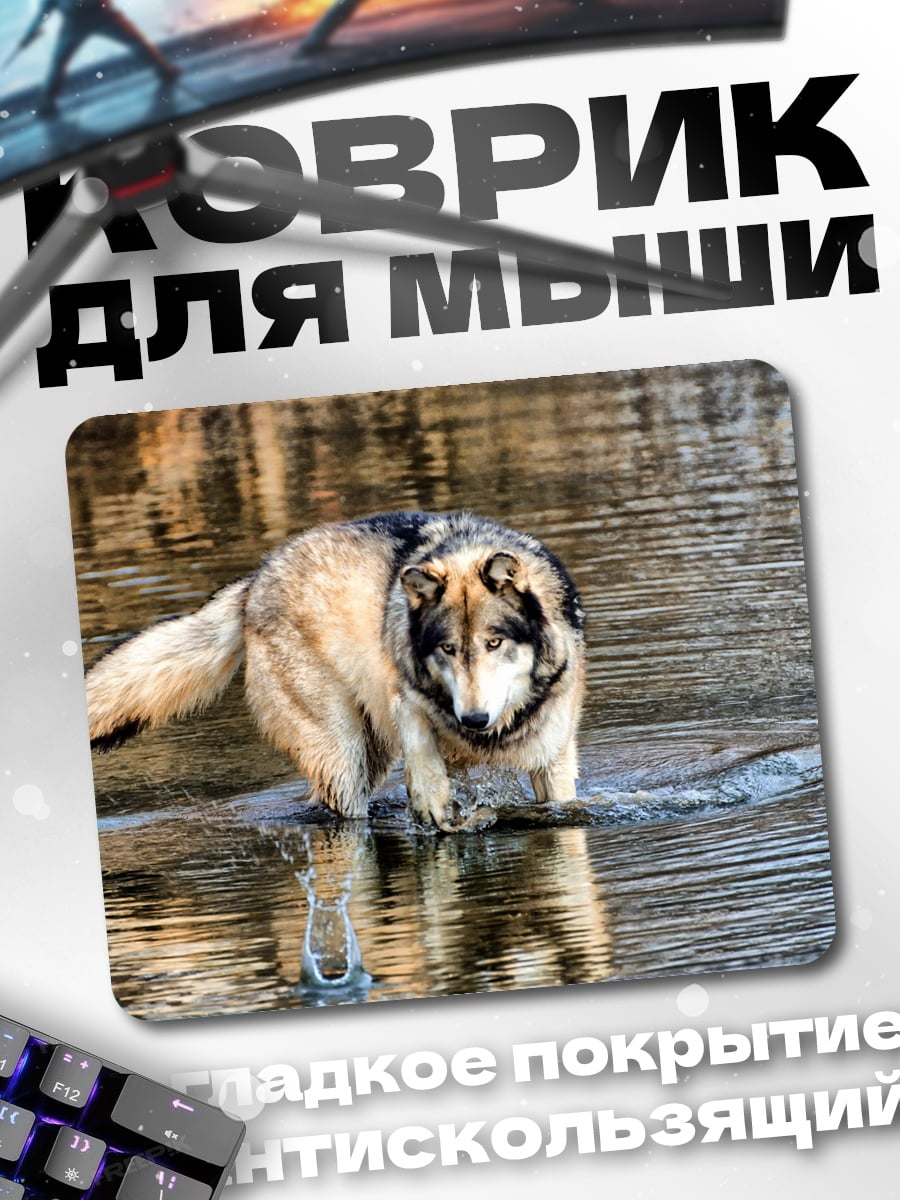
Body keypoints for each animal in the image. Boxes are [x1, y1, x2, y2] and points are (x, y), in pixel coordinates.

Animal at [86, 511, 586, 830]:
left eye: (493, 643)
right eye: (448, 648)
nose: (474, 719)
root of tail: (255, 580)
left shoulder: (553, 758)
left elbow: (563, 809)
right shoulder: (402, 692)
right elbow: (419, 738)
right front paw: (431, 800)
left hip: (368, 755)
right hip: (344, 753)